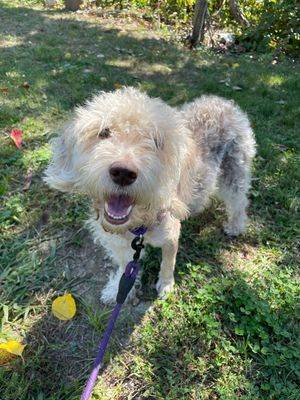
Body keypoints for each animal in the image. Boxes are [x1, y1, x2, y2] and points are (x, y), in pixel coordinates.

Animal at [44, 87, 255, 304]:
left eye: (156, 141)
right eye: (104, 132)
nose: (123, 173)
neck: (140, 223)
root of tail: (222, 101)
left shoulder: (171, 237)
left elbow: (167, 264)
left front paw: (166, 285)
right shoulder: (121, 244)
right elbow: (124, 267)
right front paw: (117, 289)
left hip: (235, 172)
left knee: (239, 202)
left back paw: (235, 226)